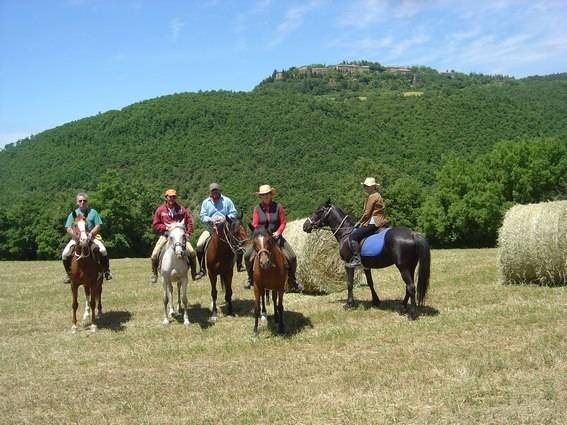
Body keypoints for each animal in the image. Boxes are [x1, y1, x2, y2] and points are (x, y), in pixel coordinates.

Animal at [302, 200, 430, 318]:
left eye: (319, 211)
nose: (305, 226)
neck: (346, 233)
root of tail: (412, 234)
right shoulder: (366, 266)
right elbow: (370, 283)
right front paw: (375, 301)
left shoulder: (348, 264)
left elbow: (349, 283)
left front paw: (349, 304)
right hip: (410, 266)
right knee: (408, 287)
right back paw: (402, 308)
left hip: (403, 267)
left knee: (411, 287)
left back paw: (412, 314)